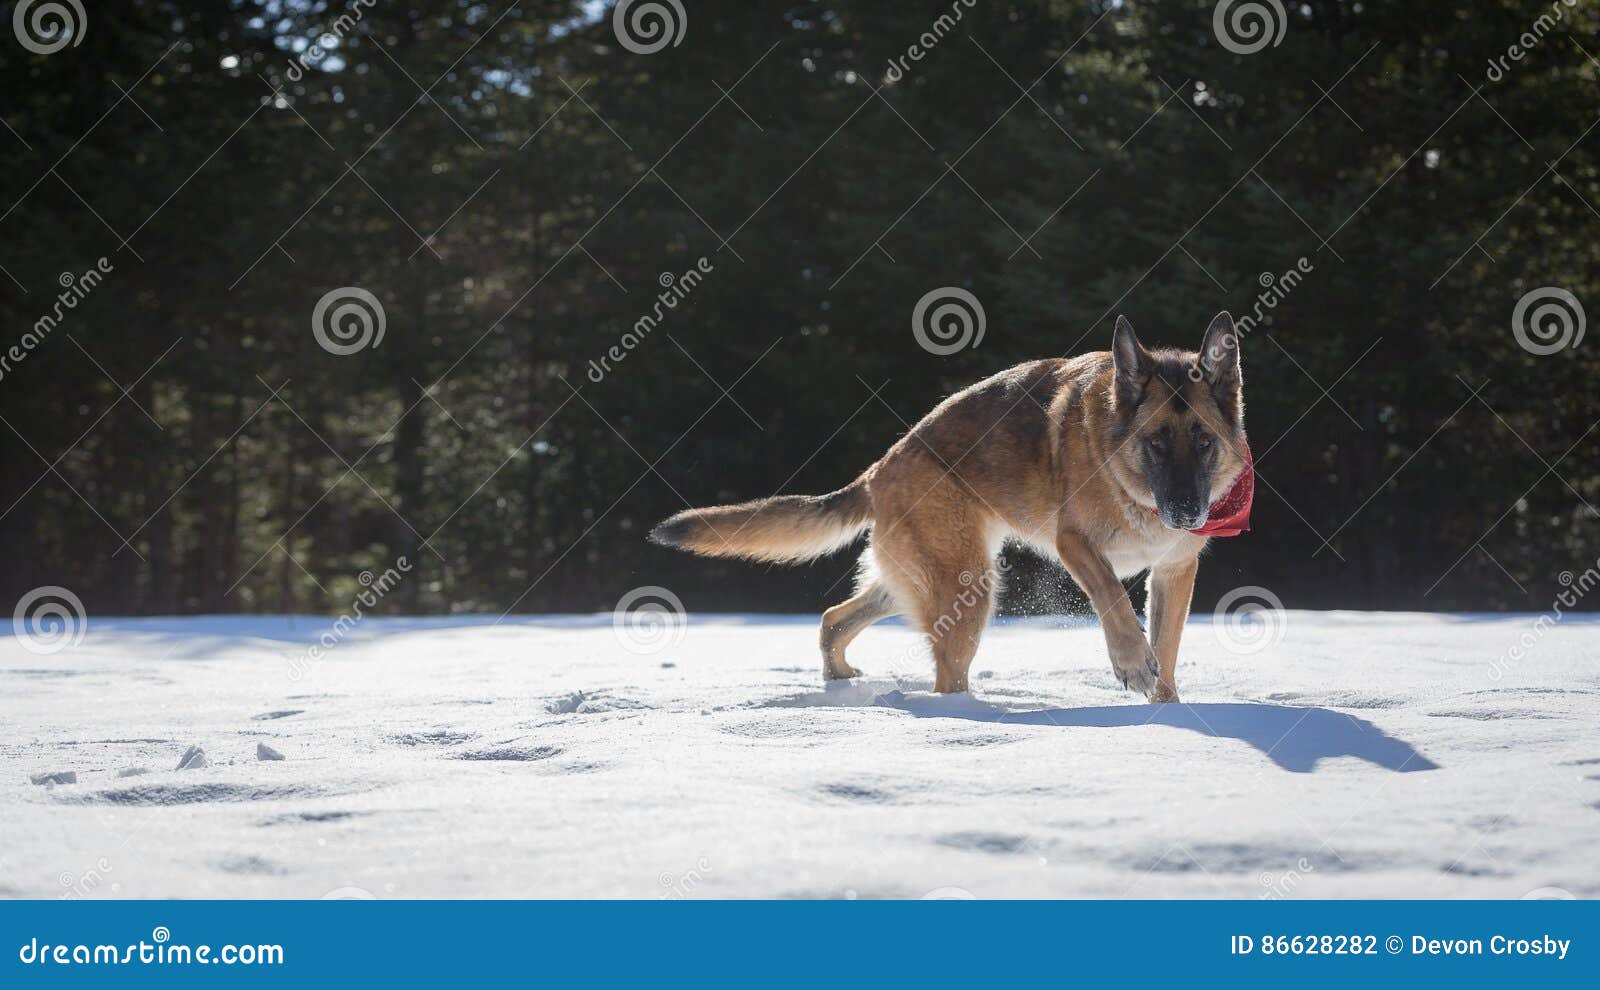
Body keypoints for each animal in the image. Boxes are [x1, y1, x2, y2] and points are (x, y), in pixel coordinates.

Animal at [649, 313, 1248, 700]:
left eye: (1202, 441)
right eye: (1155, 442)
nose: (1186, 514)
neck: (1133, 488)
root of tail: (880, 468)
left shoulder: (1174, 570)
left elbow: (1167, 646)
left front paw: (1167, 711)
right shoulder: (1075, 544)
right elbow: (1114, 602)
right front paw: (1131, 663)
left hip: (918, 581)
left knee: (833, 619)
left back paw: (840, 682)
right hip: (970, 586)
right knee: (943, 677)